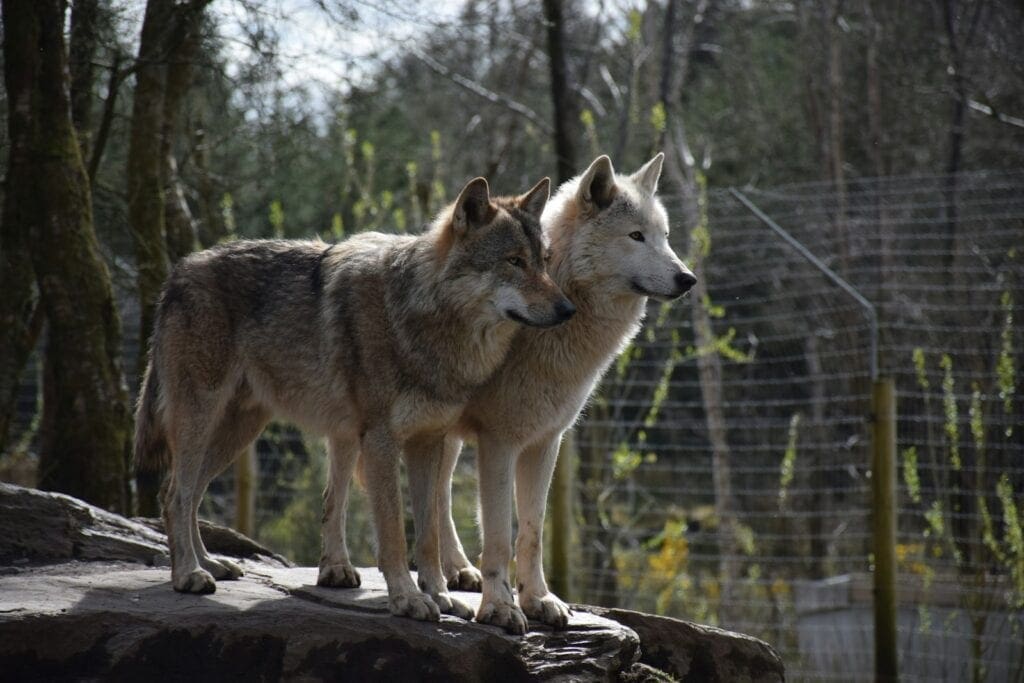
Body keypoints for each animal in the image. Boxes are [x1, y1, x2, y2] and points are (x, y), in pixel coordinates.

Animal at [134, 176, 574, 623]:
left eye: (544, 260)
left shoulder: (428, 442)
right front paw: (408, 599)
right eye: (514, 261)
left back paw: (209, 564)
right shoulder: (381, 441)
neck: (423, 320)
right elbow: (395, 532)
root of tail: (178, 272)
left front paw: (438, 594)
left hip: (237, 432)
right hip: (201, 420)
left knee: (186, 494)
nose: (568, 309)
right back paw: (188, 574)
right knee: (176, 494)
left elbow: (428, 533)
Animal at [436, 153, 694, 633]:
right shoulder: (499, 442)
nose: (688, 278)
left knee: (438, 495)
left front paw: (538, 599)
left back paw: (457, 571)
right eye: (636, 236)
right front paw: (499, 608)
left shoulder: (545, 442)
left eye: (665, 237)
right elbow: (499, 535)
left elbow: (533, 531)